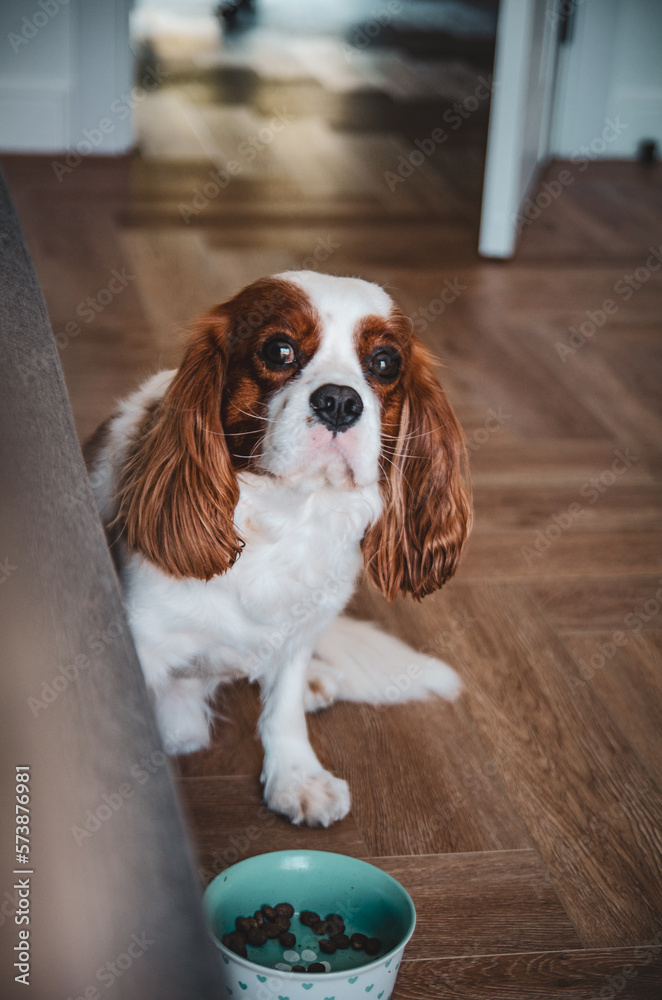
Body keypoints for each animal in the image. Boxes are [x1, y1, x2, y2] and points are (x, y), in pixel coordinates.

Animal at [87, 270, 472, 824]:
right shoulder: (143, 643)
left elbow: (282, 709)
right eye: (279, 350)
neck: (288, 514)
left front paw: (296, 777)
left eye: (385, 362)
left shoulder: (298, 630)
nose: (340, 401)